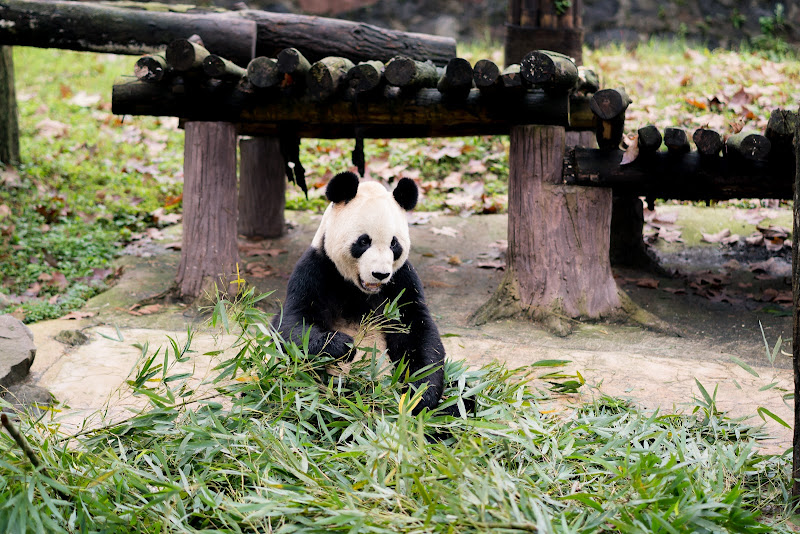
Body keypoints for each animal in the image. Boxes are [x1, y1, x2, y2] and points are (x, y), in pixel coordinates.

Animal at [274, 171, 446, 413]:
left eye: (394, 244)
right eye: (364, 241)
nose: (380, 274)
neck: (359, 289)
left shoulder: (402, 281)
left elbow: (416, 330)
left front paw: (420, 394)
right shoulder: (316, 270)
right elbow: (292, 323)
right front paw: (343, 345)